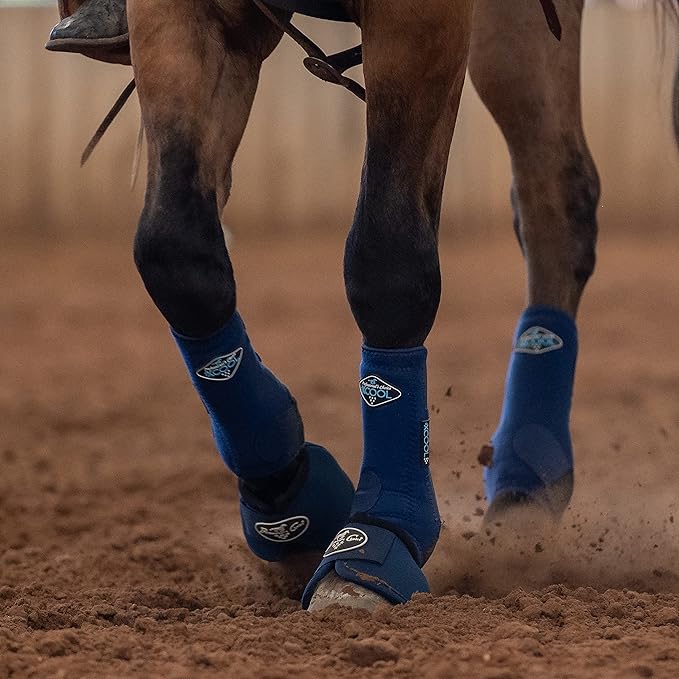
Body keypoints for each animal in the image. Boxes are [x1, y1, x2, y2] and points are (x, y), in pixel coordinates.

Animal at [49, 0, 679, 611]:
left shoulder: (420, 22)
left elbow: (388, 264)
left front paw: (376, 539)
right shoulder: (183, 18)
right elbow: (177, 256)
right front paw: (290, 503)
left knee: (555, 199)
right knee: (555, 198)